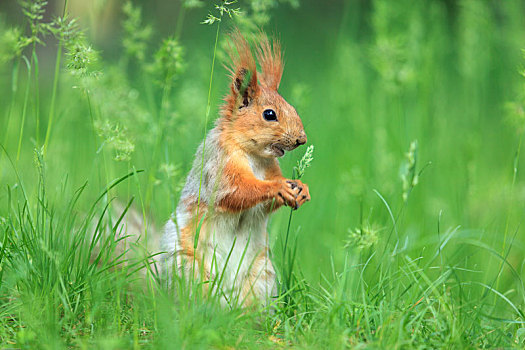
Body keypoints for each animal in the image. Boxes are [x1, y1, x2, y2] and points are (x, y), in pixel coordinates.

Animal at [159, 30, 308, 306]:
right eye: (269, 114)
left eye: (292, 107)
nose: (301, 139)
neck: (254, 156)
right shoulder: (219, 165)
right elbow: (236, 192)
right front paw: (278, 187)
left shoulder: (269, 166)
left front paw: (301, 188)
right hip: (186, 269)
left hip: (261, 275)